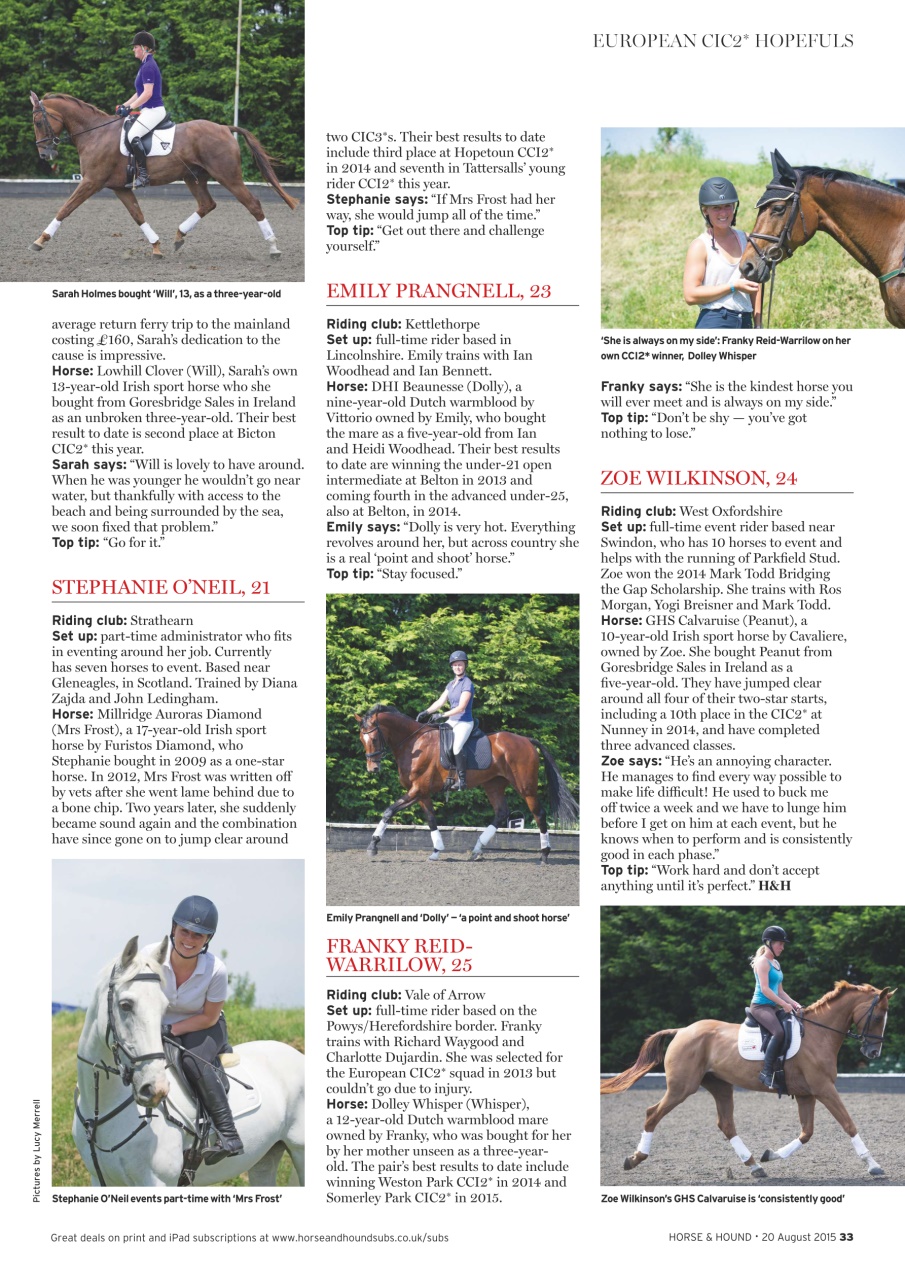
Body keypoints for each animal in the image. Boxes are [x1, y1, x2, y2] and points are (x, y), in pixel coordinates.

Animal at [29, 92, 298, 260]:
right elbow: (137, 215)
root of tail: (224, 128)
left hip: (228, 176)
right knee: (207, 204)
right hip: (194, 177)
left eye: (38, 121)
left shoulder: (91, 182)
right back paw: (179, 236)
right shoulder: (120, 187)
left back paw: (273, 248)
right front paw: (157, 248)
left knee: (253, 204)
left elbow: (65, 208)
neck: (94, 133)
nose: (44, 154)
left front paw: (40, 240)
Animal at [72, 936, 305, 1187]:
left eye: (163, 1008)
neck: (101, 1107)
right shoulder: (99, 1179)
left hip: (300, 1151)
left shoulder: (157, 1182)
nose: (155, 1089)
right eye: (125, 1005)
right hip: (266, 1156)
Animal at [354, 704, 579, 862]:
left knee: (539, 814)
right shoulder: (421, 792)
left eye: (374, 738)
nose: (372, 769)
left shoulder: (417, 790)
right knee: (501, 812)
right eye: (361, 739)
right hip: (493, 785)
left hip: (526, 786)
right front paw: (436, 851)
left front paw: (373, 845)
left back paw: (544, 854)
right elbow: (431, 819)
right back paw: (477, 850)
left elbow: (388, 811)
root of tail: (526, 740)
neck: (414, 743)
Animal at [600, 981, 895, 1179]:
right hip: (682, 1088)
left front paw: (772, 1154)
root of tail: (682, 1030)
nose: (873, 1053)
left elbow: (807, 1132)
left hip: (720, 1086)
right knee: (652, 1114)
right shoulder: (824, 1089)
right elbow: (849, 1124)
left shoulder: (807, 1093)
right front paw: (873, 1165)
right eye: (879, 1016)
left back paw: (755, 1165)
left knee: (726, 1124)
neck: (818, 1034)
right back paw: (635, 1158)